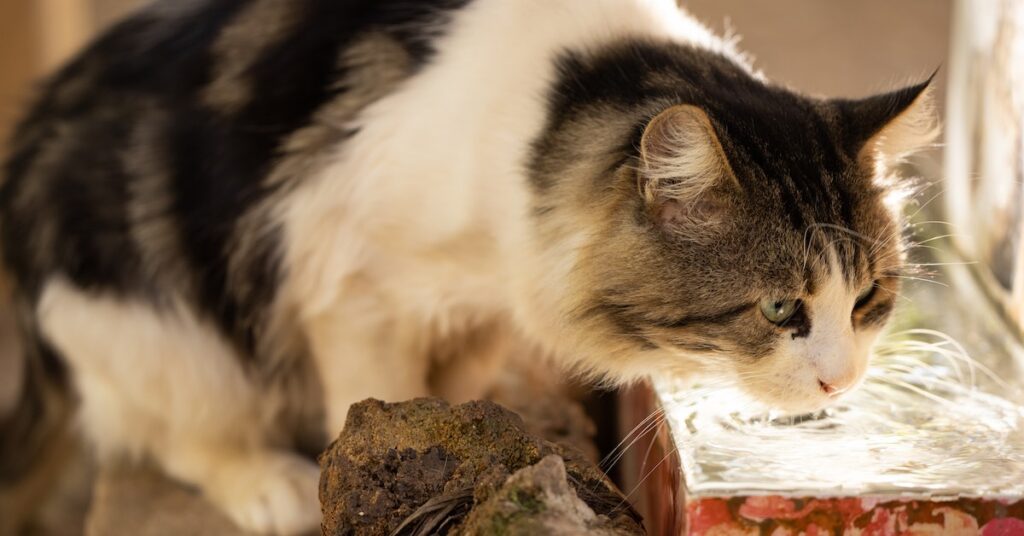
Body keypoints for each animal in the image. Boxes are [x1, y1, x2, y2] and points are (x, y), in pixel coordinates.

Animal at [0, 0, 937, 532]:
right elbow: (370, 400)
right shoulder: (349, 282)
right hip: (148, 319)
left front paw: (461, 430)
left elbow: (454, 383)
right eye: (780, 311)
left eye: (868, 301)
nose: (841, 381)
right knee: (173, 429)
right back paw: (270, 484)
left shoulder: (481, 304)